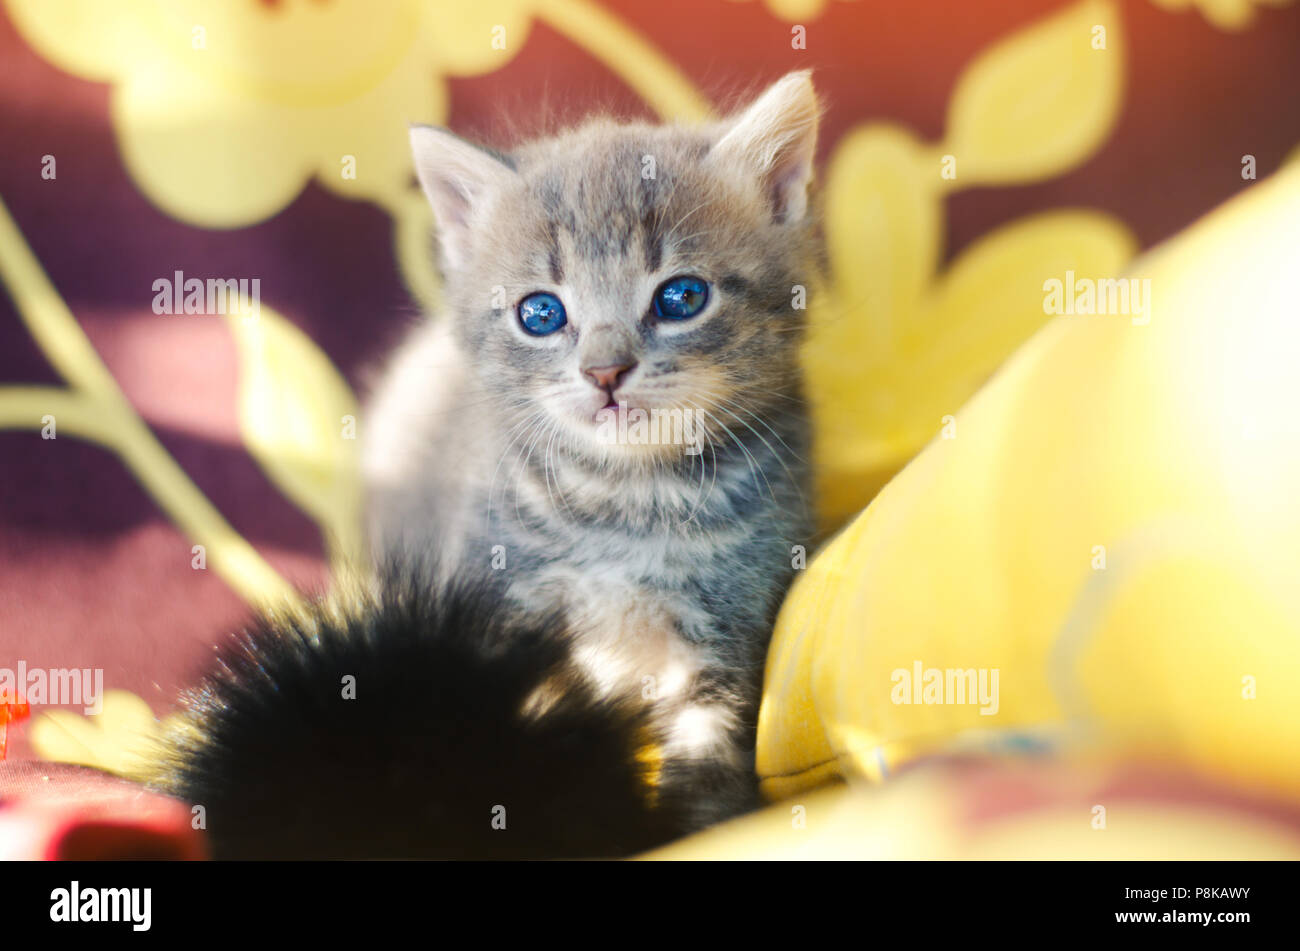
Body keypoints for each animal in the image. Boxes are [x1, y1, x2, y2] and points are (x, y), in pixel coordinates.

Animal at [149, 70, 821, 857]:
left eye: (682, 296)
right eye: (541, 314)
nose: (605, 371)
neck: (625, 500)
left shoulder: (725, 629)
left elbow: (708, 749)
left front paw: (698, 825)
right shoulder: (498, 610)